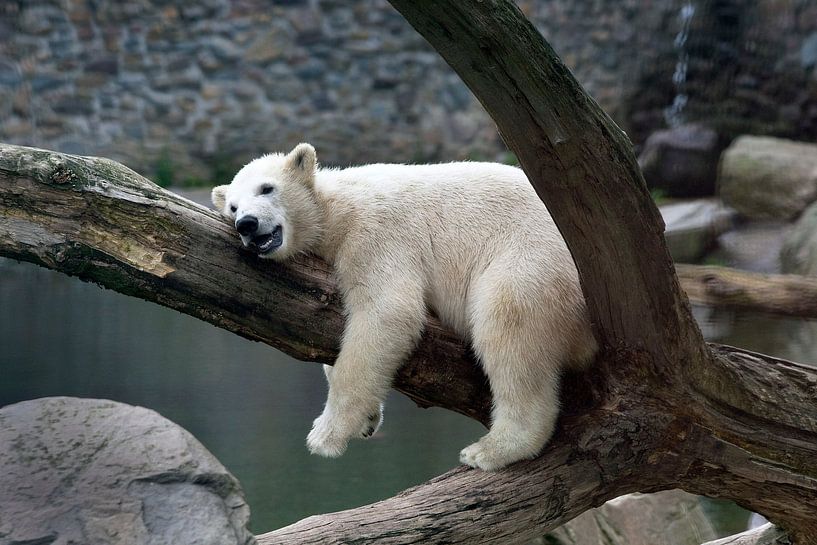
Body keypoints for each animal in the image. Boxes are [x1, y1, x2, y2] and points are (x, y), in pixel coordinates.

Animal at [209, 142, 592, 470]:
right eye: (232, 207)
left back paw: (491, 449)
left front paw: (326, 435)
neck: (335, 206)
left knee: (509, 327)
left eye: (267, 188)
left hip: (533, 257)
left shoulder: (375, 233)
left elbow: (387, 310)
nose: (247, 224)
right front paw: (367, 419)